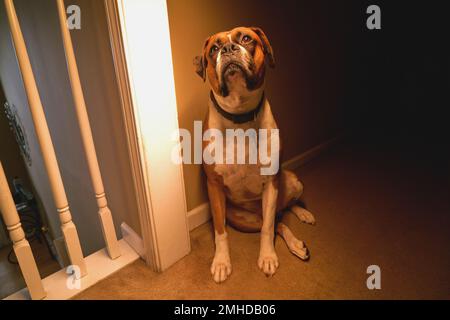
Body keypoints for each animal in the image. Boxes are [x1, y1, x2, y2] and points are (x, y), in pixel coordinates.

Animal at [193, 27, 316, 282]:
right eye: (214, 48)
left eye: (246, 38)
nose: (228, 48)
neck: (239, 116)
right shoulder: (214, 187)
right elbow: (220, 232)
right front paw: (221, 262)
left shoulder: (271, 182)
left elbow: (268, 228)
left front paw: (267, 256)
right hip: (243, 219)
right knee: (278, 221)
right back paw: (297, 243)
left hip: (291, 181)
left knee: (279, 215)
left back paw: (302, 217)